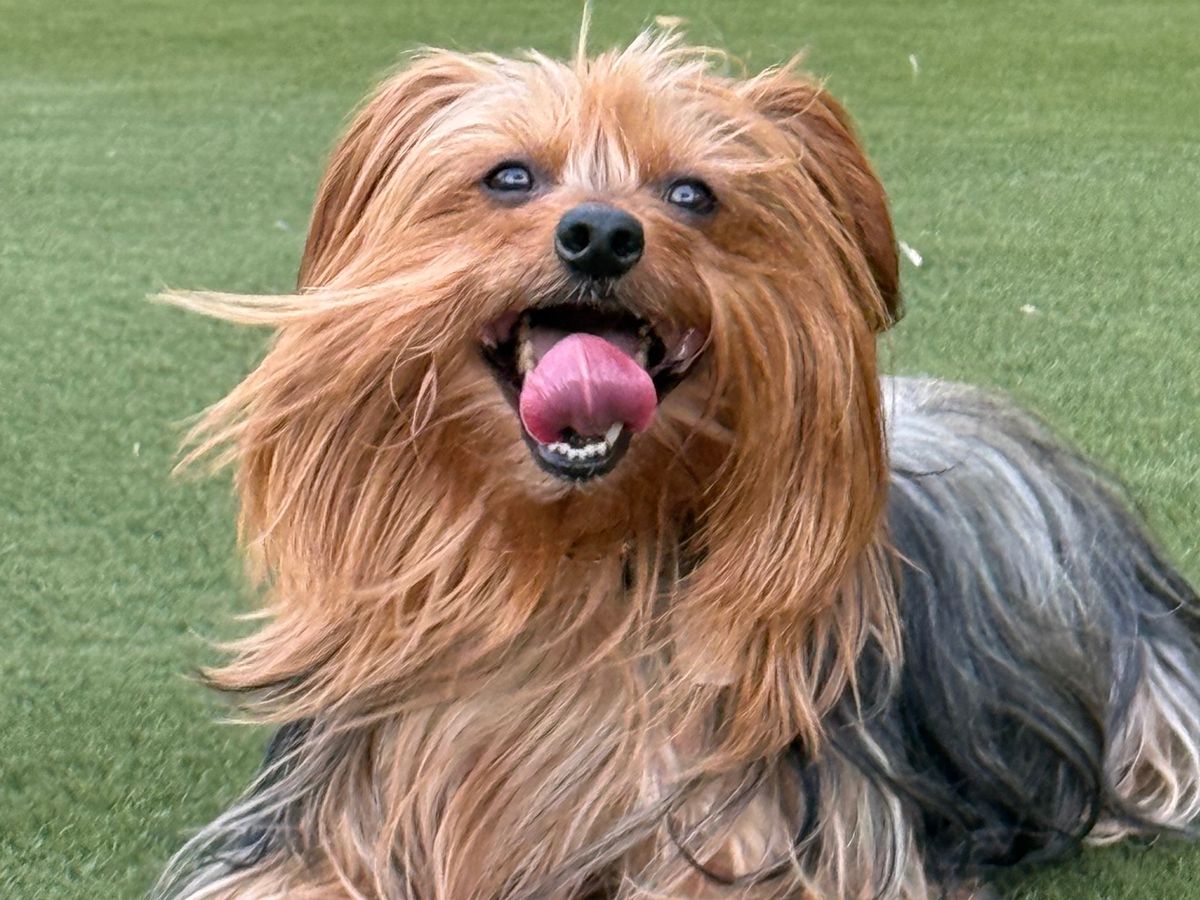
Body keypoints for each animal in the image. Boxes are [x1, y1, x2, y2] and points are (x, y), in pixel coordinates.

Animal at [156, 30, 1200, 900]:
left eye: (692, 192)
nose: (601, 233)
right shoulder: (336, 825)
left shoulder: (768, 841)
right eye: (508, 177)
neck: (572, 567)